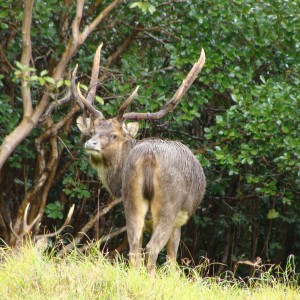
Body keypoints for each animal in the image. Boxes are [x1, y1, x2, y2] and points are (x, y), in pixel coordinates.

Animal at [73, 44, 206, 274]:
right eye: (93, 131)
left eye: (113, 135)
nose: (91, 143)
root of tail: (148, 158)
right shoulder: (179, 221)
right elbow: (172, 260)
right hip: (169, 205)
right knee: (152, 249)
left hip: (132, 198)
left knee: (134, 247)